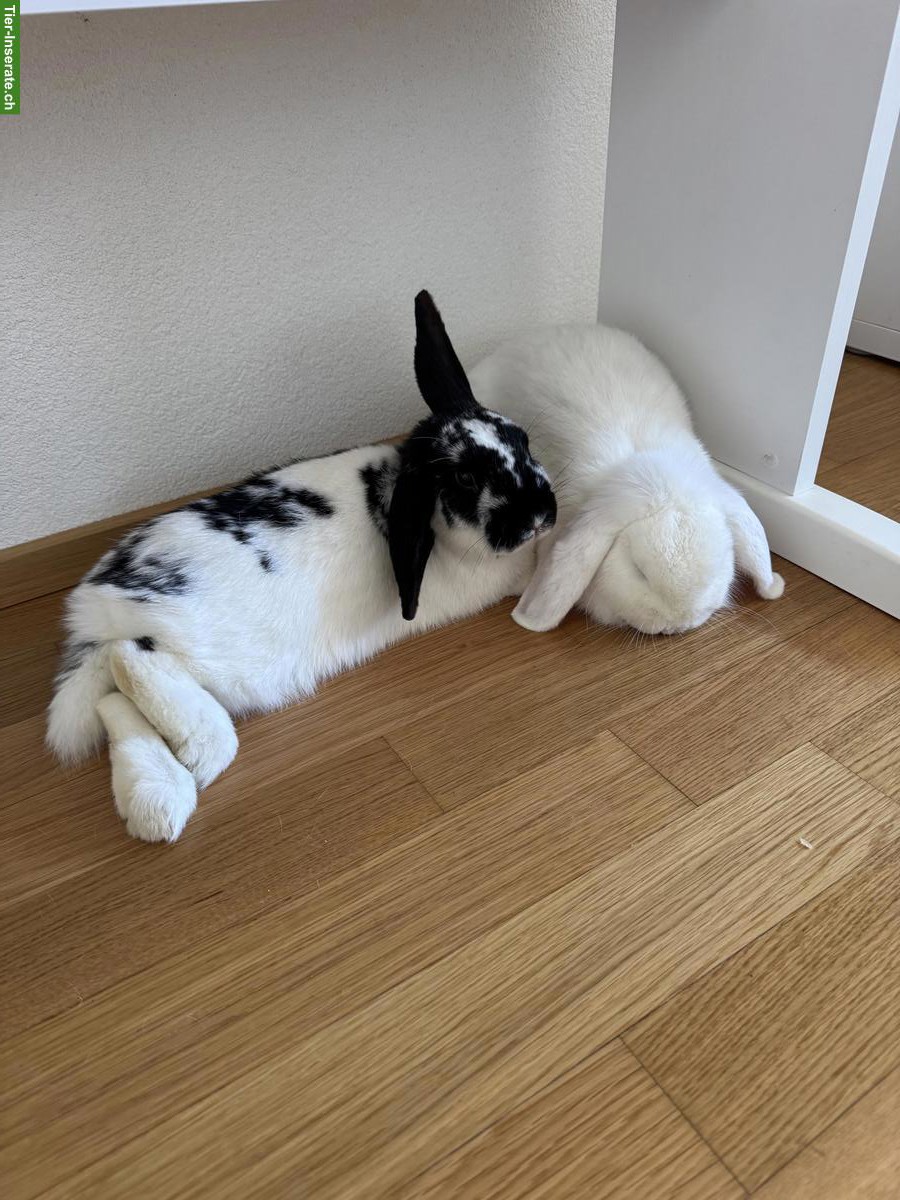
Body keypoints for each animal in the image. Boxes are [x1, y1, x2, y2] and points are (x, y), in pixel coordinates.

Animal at [46, 291, 557, 842]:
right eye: (464, 478)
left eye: (523, 440)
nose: (540, 514)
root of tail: (96, 613)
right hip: (219, 660)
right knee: (132, 663)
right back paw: (195, 761)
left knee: (113, 701)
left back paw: (155, 805)